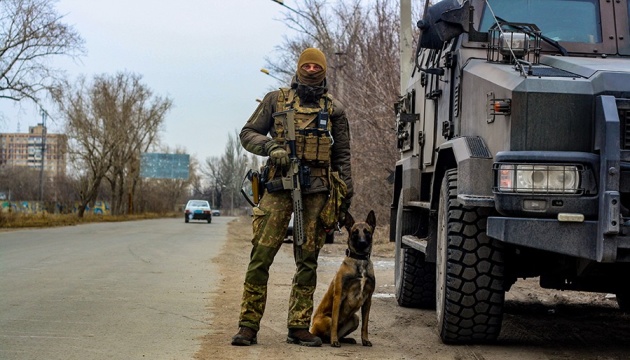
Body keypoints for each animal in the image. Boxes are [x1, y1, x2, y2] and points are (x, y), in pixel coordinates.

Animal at [312, 210, 376, 348]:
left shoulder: (368, 300)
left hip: (355, 319)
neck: (359, 260)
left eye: (367, 232)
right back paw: (327, 339)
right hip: (327, 319)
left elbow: (365, 325)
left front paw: (365, 340)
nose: (362, 243)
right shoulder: (339, 296)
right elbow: (335, 323)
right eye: (355, 232)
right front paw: (334, 341)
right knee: (326, 331)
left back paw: (346, 339)